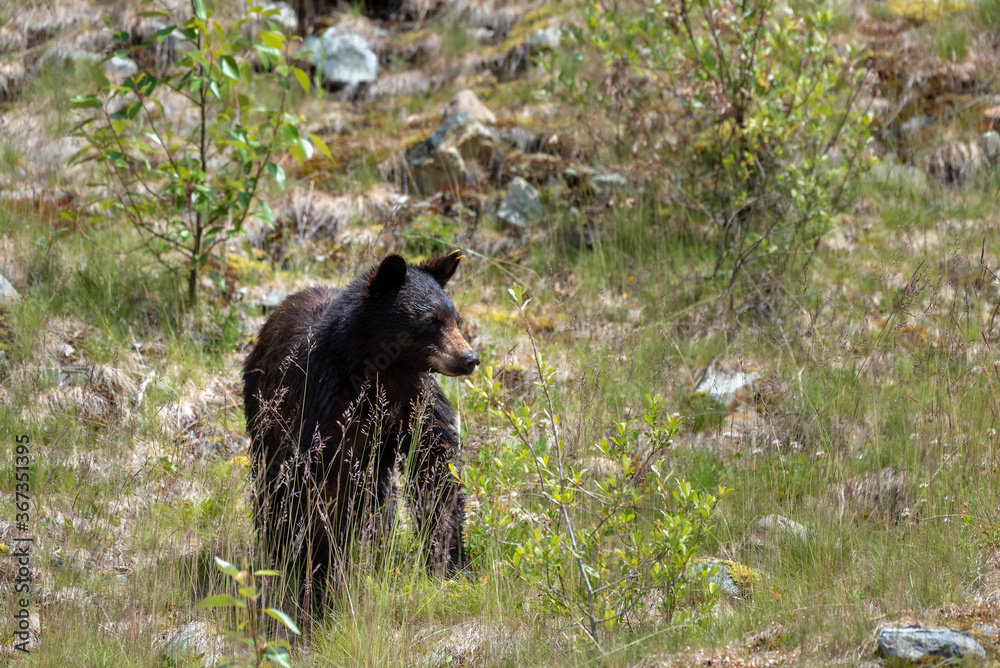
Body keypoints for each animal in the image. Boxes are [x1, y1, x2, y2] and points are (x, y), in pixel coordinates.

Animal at [242, 251, 479, 603]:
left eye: (455, 318)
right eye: (430, 321)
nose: (469, 358)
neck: (384, 372)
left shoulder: (416, 401)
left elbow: (436, 469)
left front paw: (450, 561)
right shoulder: (328, 408)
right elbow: (325, 489)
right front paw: (321, 577)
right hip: (265, 414)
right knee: (274, 486)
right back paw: (280, 548)